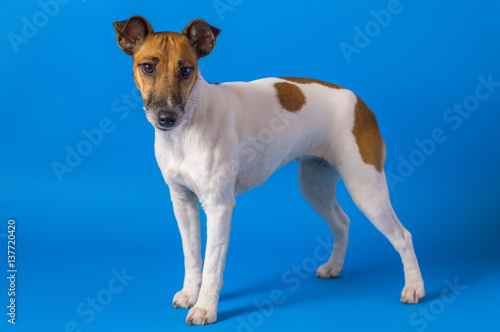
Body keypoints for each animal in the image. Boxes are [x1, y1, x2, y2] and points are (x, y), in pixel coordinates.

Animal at [111, 15, 424, 324]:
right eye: (147, 67)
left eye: (186, 70)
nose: (167, 118)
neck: (187, 129)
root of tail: (361, 103)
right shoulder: (183, 202)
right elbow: (192, 256)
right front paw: (191, 293)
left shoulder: (219, 207)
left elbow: (212, 264)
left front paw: (205, 307)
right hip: (314, 187)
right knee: (342, 222)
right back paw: (334, 266)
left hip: (365, 188)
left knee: (403, 236)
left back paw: (414, 287)